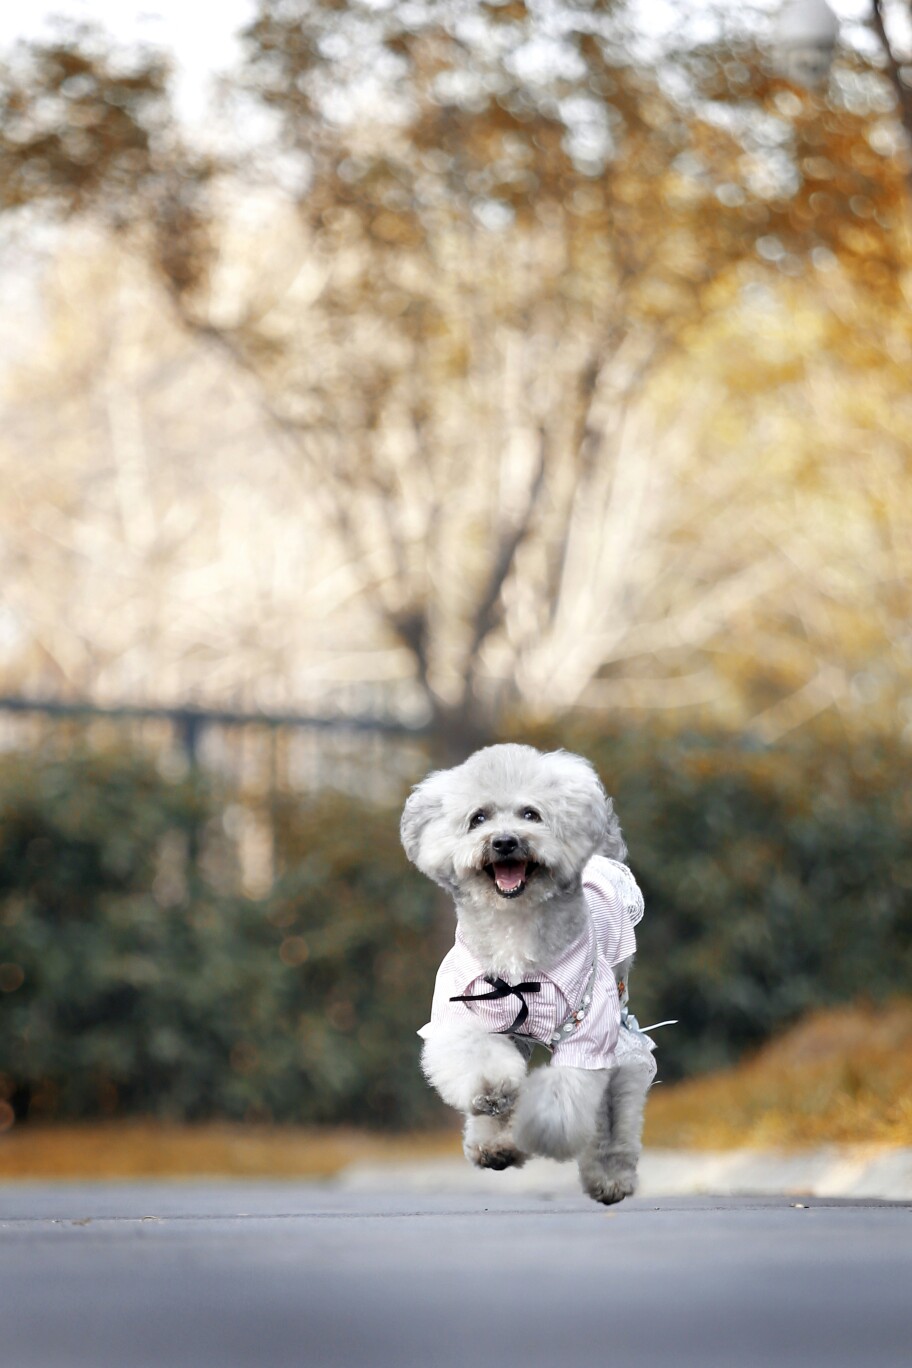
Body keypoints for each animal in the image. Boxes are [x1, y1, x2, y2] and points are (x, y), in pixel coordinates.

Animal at [399, 744, 656, 1203]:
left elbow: (563, 1098)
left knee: (617, 1103)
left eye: (531, 814)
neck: (514, 929)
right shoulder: (461, 1014)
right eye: (478, 818)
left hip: (620, 1024)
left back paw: (611, 1177)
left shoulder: (590, 1032)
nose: (504, 842)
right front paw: (494, 1102)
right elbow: (479, 1062)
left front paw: (532, 1128)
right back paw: (494, 1144)